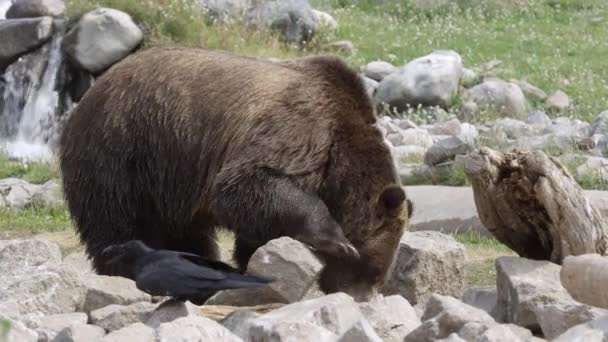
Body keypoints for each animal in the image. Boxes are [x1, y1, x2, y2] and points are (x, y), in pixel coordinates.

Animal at [59, 45, 414, 302]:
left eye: (379, 276)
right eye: (371, 269)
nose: (360, 298)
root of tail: (86, 97)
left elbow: (257, 226)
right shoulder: (297, 133)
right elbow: (244, 185)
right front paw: (336, 241)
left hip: (169, 182)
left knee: (187, 235)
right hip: (123, 150)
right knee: (117, 223)